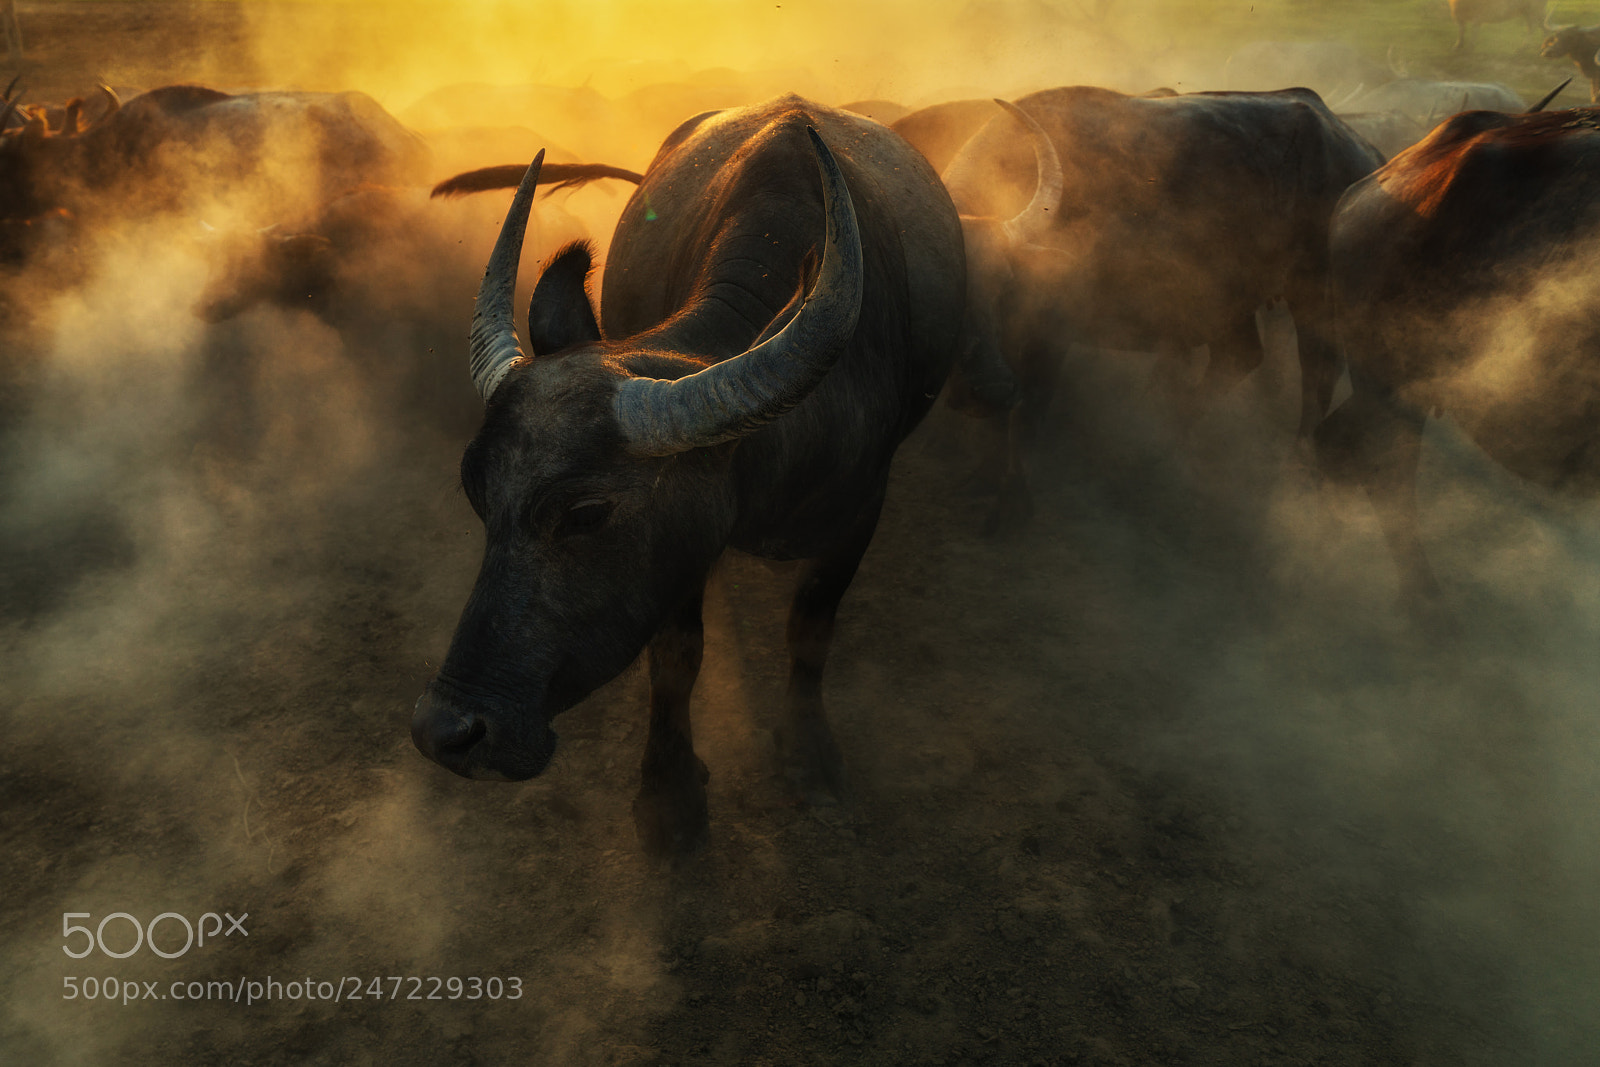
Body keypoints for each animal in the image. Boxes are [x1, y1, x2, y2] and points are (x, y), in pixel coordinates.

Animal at [410, 97, 966, 854]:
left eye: (587, 514)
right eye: (478, 494)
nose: (448, 732)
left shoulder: (861, 513)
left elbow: (810, 628)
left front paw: (810, 758)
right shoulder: (682, 552)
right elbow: (675, 659)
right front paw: (669, 793)